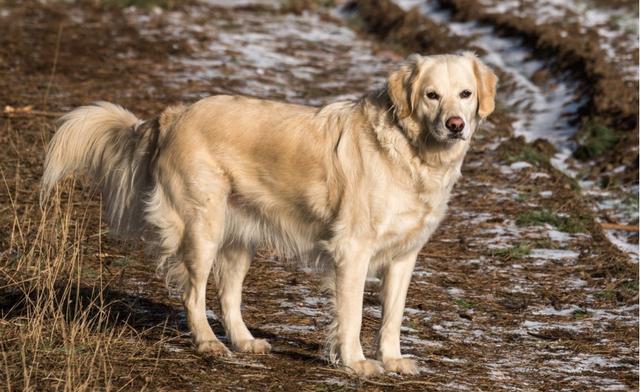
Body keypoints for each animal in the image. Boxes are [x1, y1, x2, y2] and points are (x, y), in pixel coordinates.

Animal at [42, 52, 498, 376]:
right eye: (431, 95)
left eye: (465, 94)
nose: (455, 125)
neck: (411, 150)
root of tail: (173, 116)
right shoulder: (352, 251)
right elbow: (351, 315)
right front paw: (356, 362)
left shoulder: (404, 256)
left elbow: (392, 316)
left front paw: (392, 359)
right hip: (202, 228)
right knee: (193, 293)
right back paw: (209, 344)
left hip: (239, 237)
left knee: (228, 296)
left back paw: (244, 342)